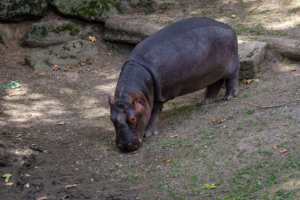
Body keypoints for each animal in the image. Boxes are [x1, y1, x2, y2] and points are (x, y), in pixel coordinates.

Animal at [109, 17, 240, 152]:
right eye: (111, 119)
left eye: (133, 118)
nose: (126, 146)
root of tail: (229, 27)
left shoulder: (158, 97)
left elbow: (153, 114)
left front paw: (149, 133)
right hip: (212, 72)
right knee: (215, 84)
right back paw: (204, 102)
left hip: (231, 67)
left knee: (232, 78)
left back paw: (229, 96)